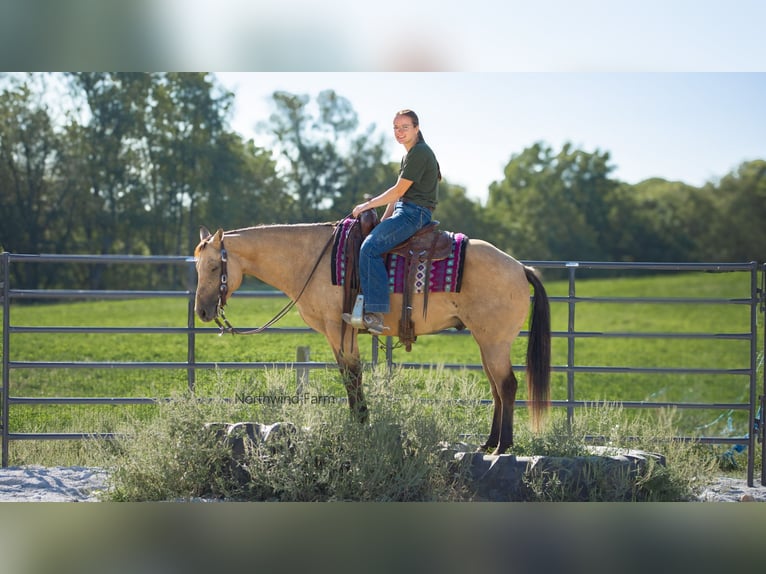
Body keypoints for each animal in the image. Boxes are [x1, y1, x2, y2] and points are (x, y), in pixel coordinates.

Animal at [194, 223, 552, 456]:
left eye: (213, 267)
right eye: (197, 267)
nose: (202, 311)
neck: (313, 260)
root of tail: (520, 267)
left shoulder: (340, 330)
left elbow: (353, 377)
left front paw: (360, 425)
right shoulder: (337, 334)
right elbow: (349, 378)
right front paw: (359, 423)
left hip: (495, 342)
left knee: (507, 386)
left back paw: (503, 446)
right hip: (486, 342)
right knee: (495, 389)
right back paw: (489, 442)